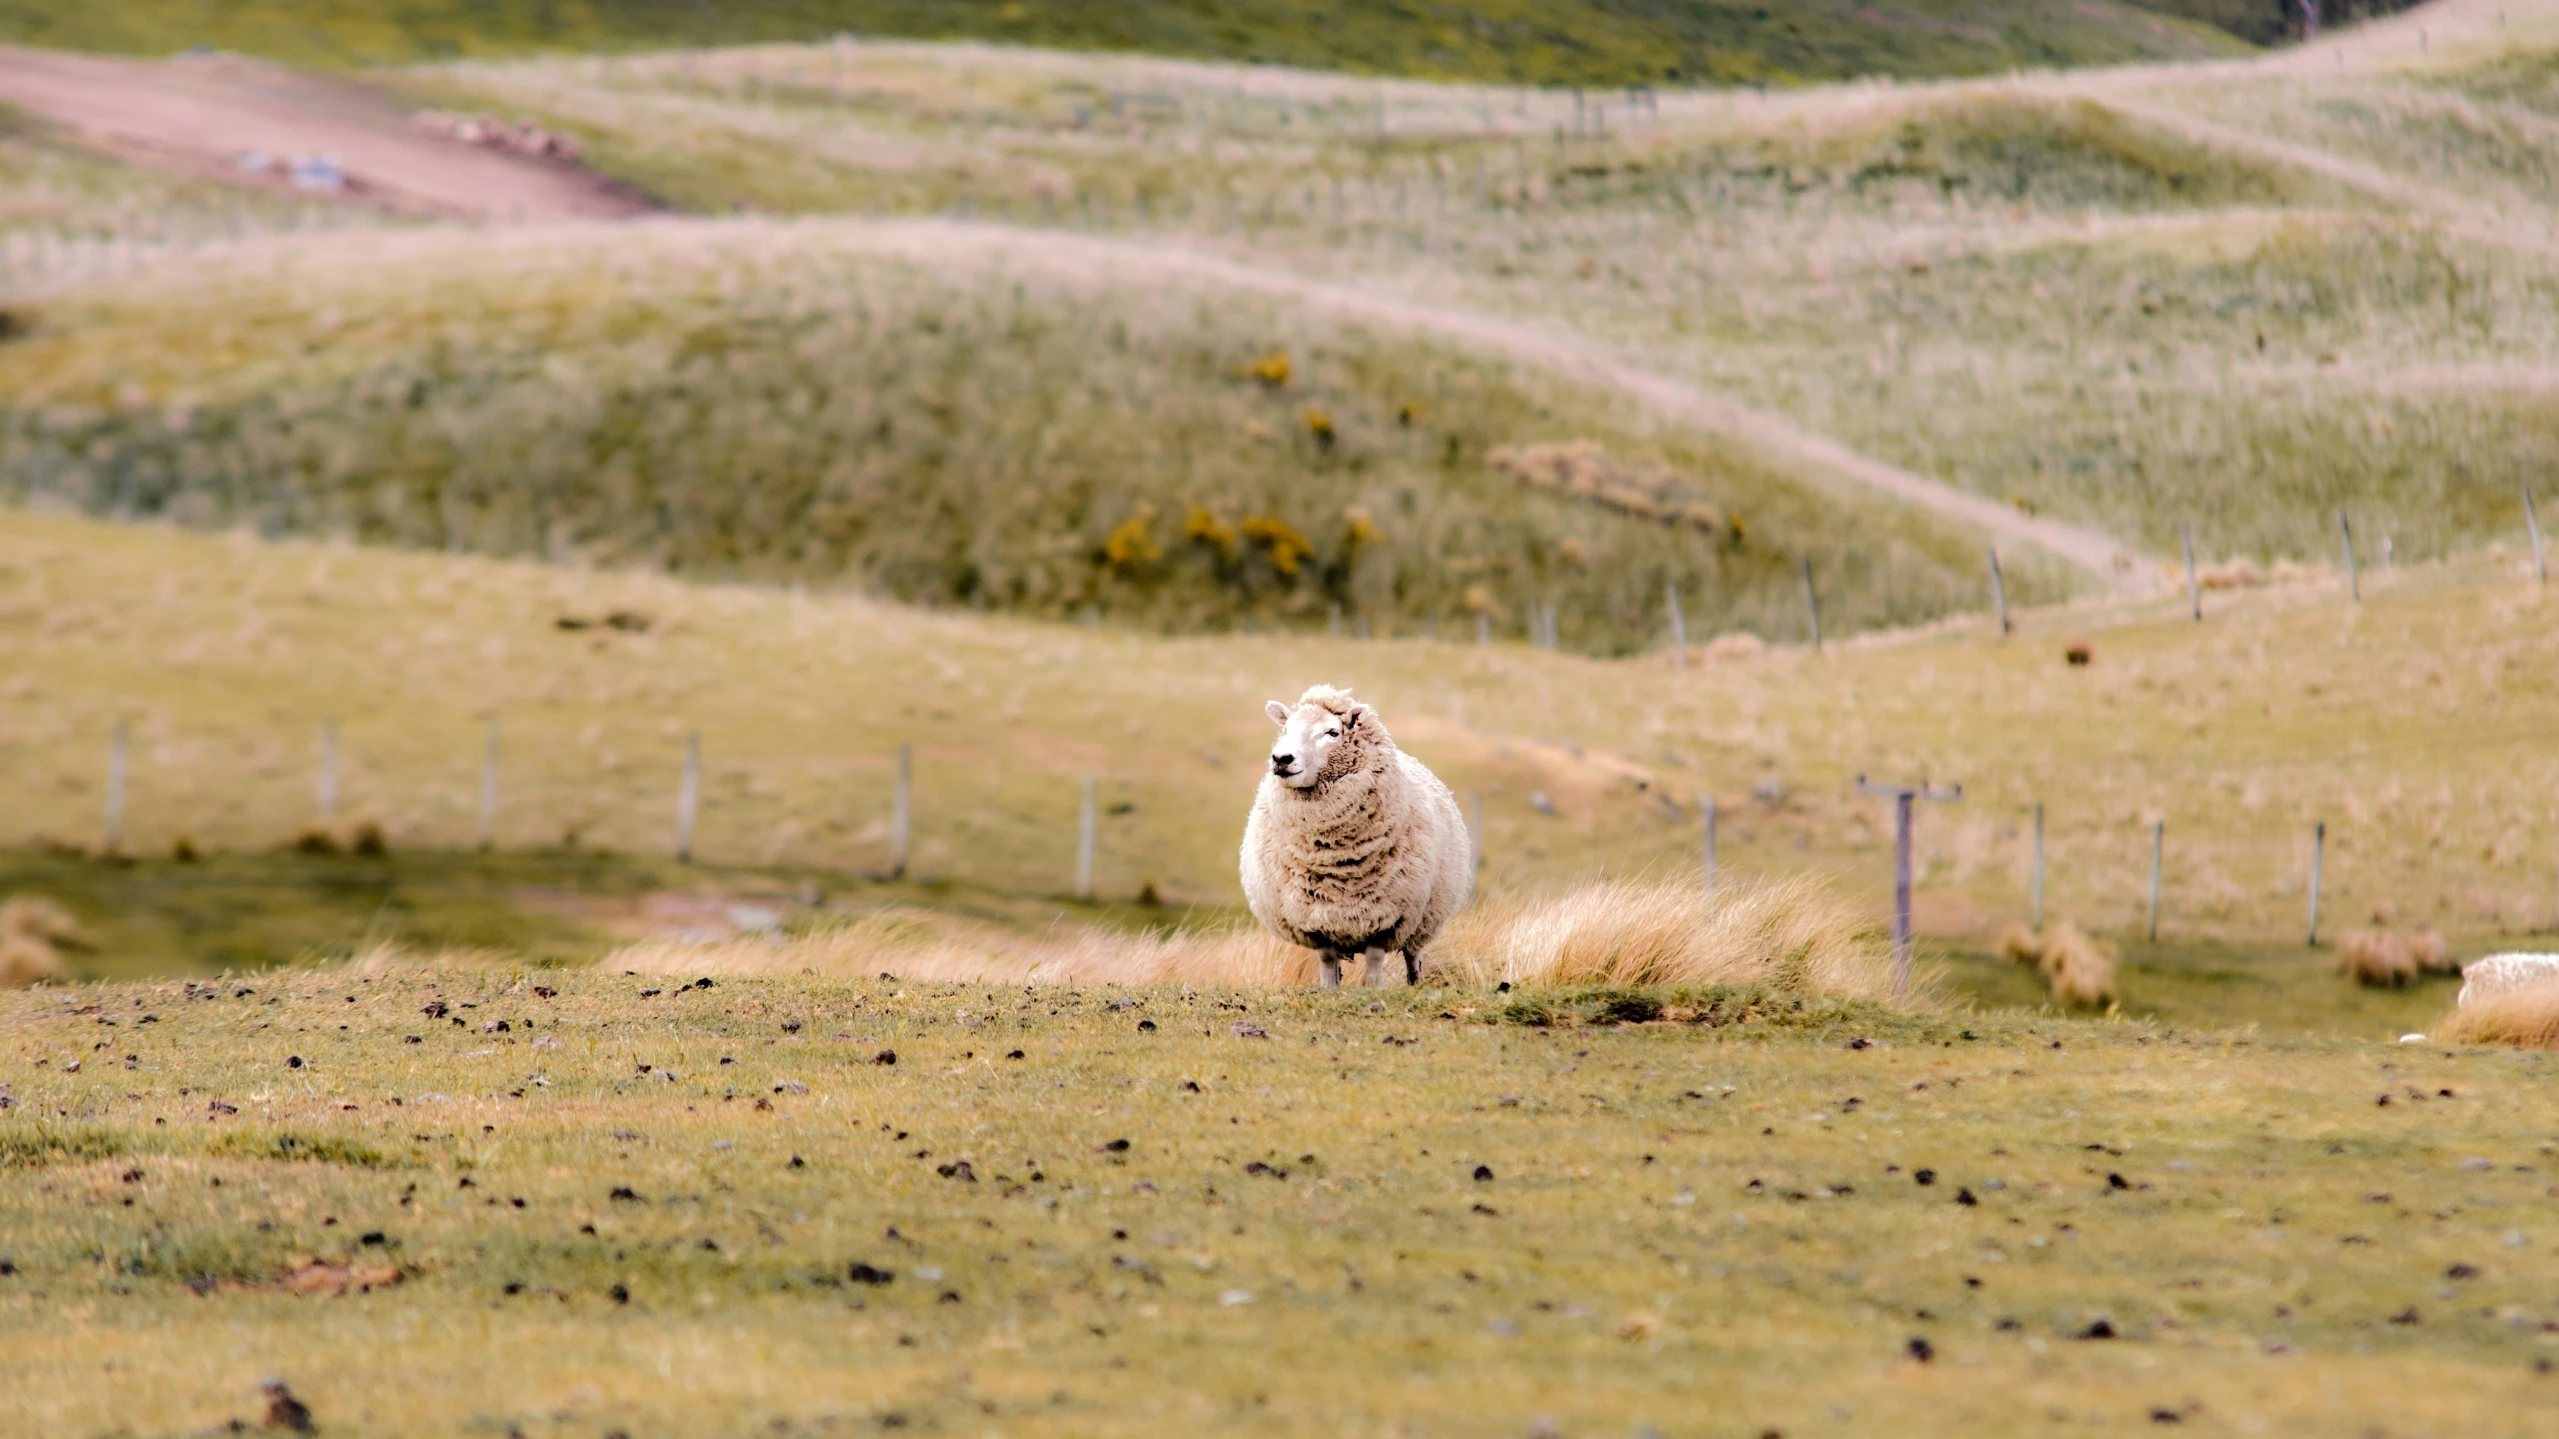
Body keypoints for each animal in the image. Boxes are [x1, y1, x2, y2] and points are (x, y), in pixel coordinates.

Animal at [1233, 681, 1473, 972]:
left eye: (1332, 732)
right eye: (1285, 729)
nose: (1281, 758)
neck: (1330, 854)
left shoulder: (1382, 919)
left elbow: (1374, 965)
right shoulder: (1315, 921)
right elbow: (1327, 964)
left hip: (1421, 920)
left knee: (1414, 958)